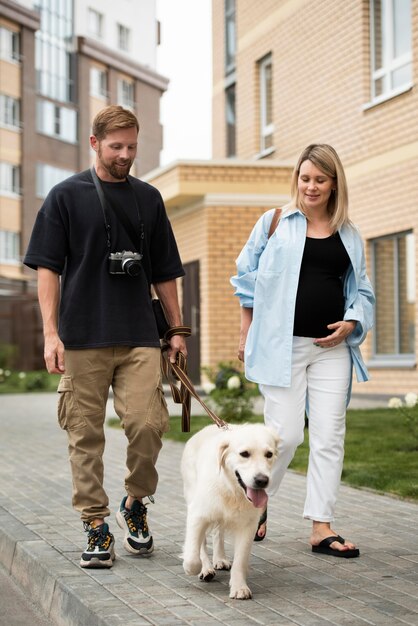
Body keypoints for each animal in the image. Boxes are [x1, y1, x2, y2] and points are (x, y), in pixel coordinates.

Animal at [181, 422, 280, 596]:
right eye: (244, 454)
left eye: (269, 454)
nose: (262, 480)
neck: (232, 489)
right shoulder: (198, 514)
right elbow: (193, 555)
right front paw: (192, 567)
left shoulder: (248, 526)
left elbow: (240, 560)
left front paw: (239, 587)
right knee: (202, 542)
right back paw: (206, 568)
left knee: (218, 533)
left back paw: (220, 559)